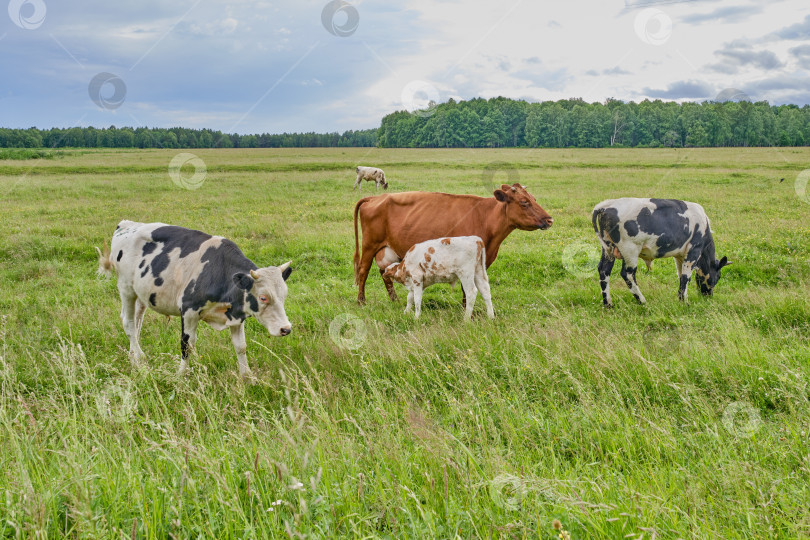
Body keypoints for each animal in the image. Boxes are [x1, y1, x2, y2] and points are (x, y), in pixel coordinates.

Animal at [350, 184, 552, 304]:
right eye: (524, 202)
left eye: (534, 199)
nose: (549, 219)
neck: (485, 219)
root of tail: (375, 198)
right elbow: (466, 287)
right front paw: (466, 309)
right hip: (369, 245)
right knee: (363, 271)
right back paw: (361, 301)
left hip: (386, 249)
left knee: (385, 273)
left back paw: (395, 301)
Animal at [592, 198, 728, 308]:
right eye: (719, 276)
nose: (708, 296)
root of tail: (606, 205)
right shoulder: (693, 250)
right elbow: (686, 277)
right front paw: (685, 302)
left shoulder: (679, 255)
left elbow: (680, 276)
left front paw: (680, 298)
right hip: (630, 250)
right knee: (628, 274)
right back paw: (642, 301)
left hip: (608, 249)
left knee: (604, 271)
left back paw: (608, 304)